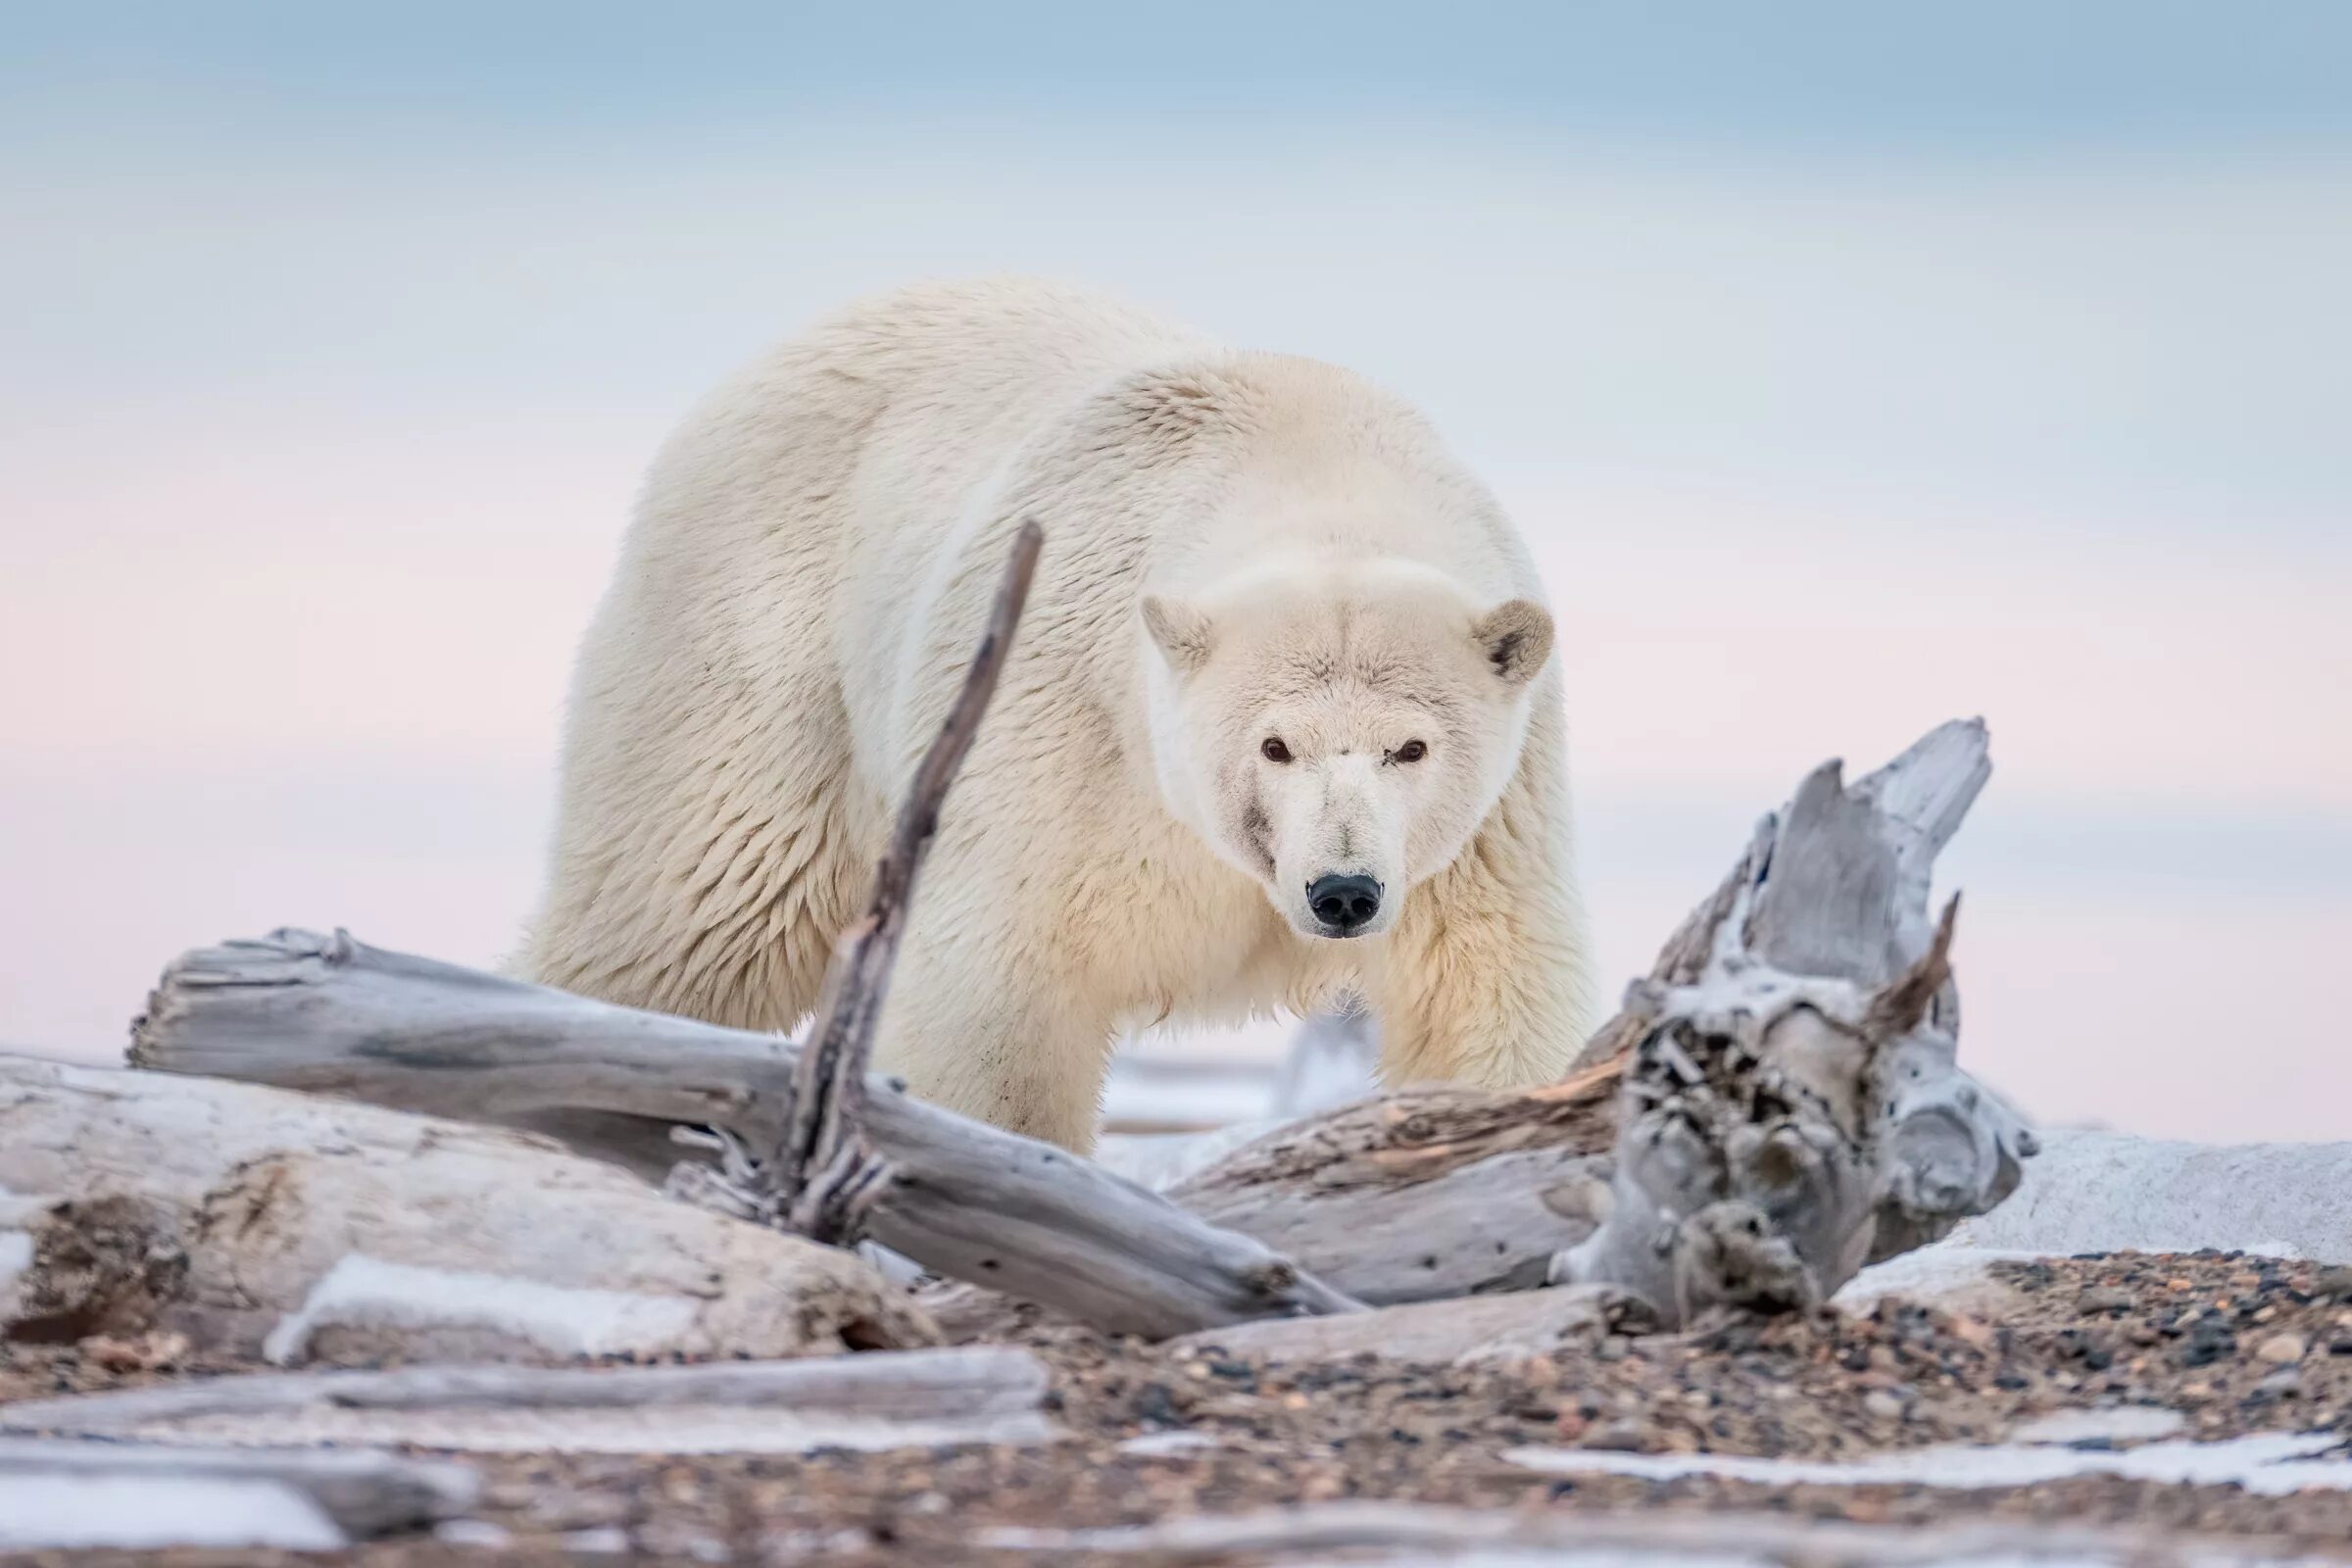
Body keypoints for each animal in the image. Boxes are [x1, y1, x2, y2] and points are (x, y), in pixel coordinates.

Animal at [529, 278, 1599, 1152]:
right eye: (1274, 744)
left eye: (1411, 746)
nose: (1343, 893)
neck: (1309, 458)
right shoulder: (1056, 732)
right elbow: (999, 998)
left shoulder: (1489, 825)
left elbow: (1486, 992)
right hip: (761, 641)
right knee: (687, 914)